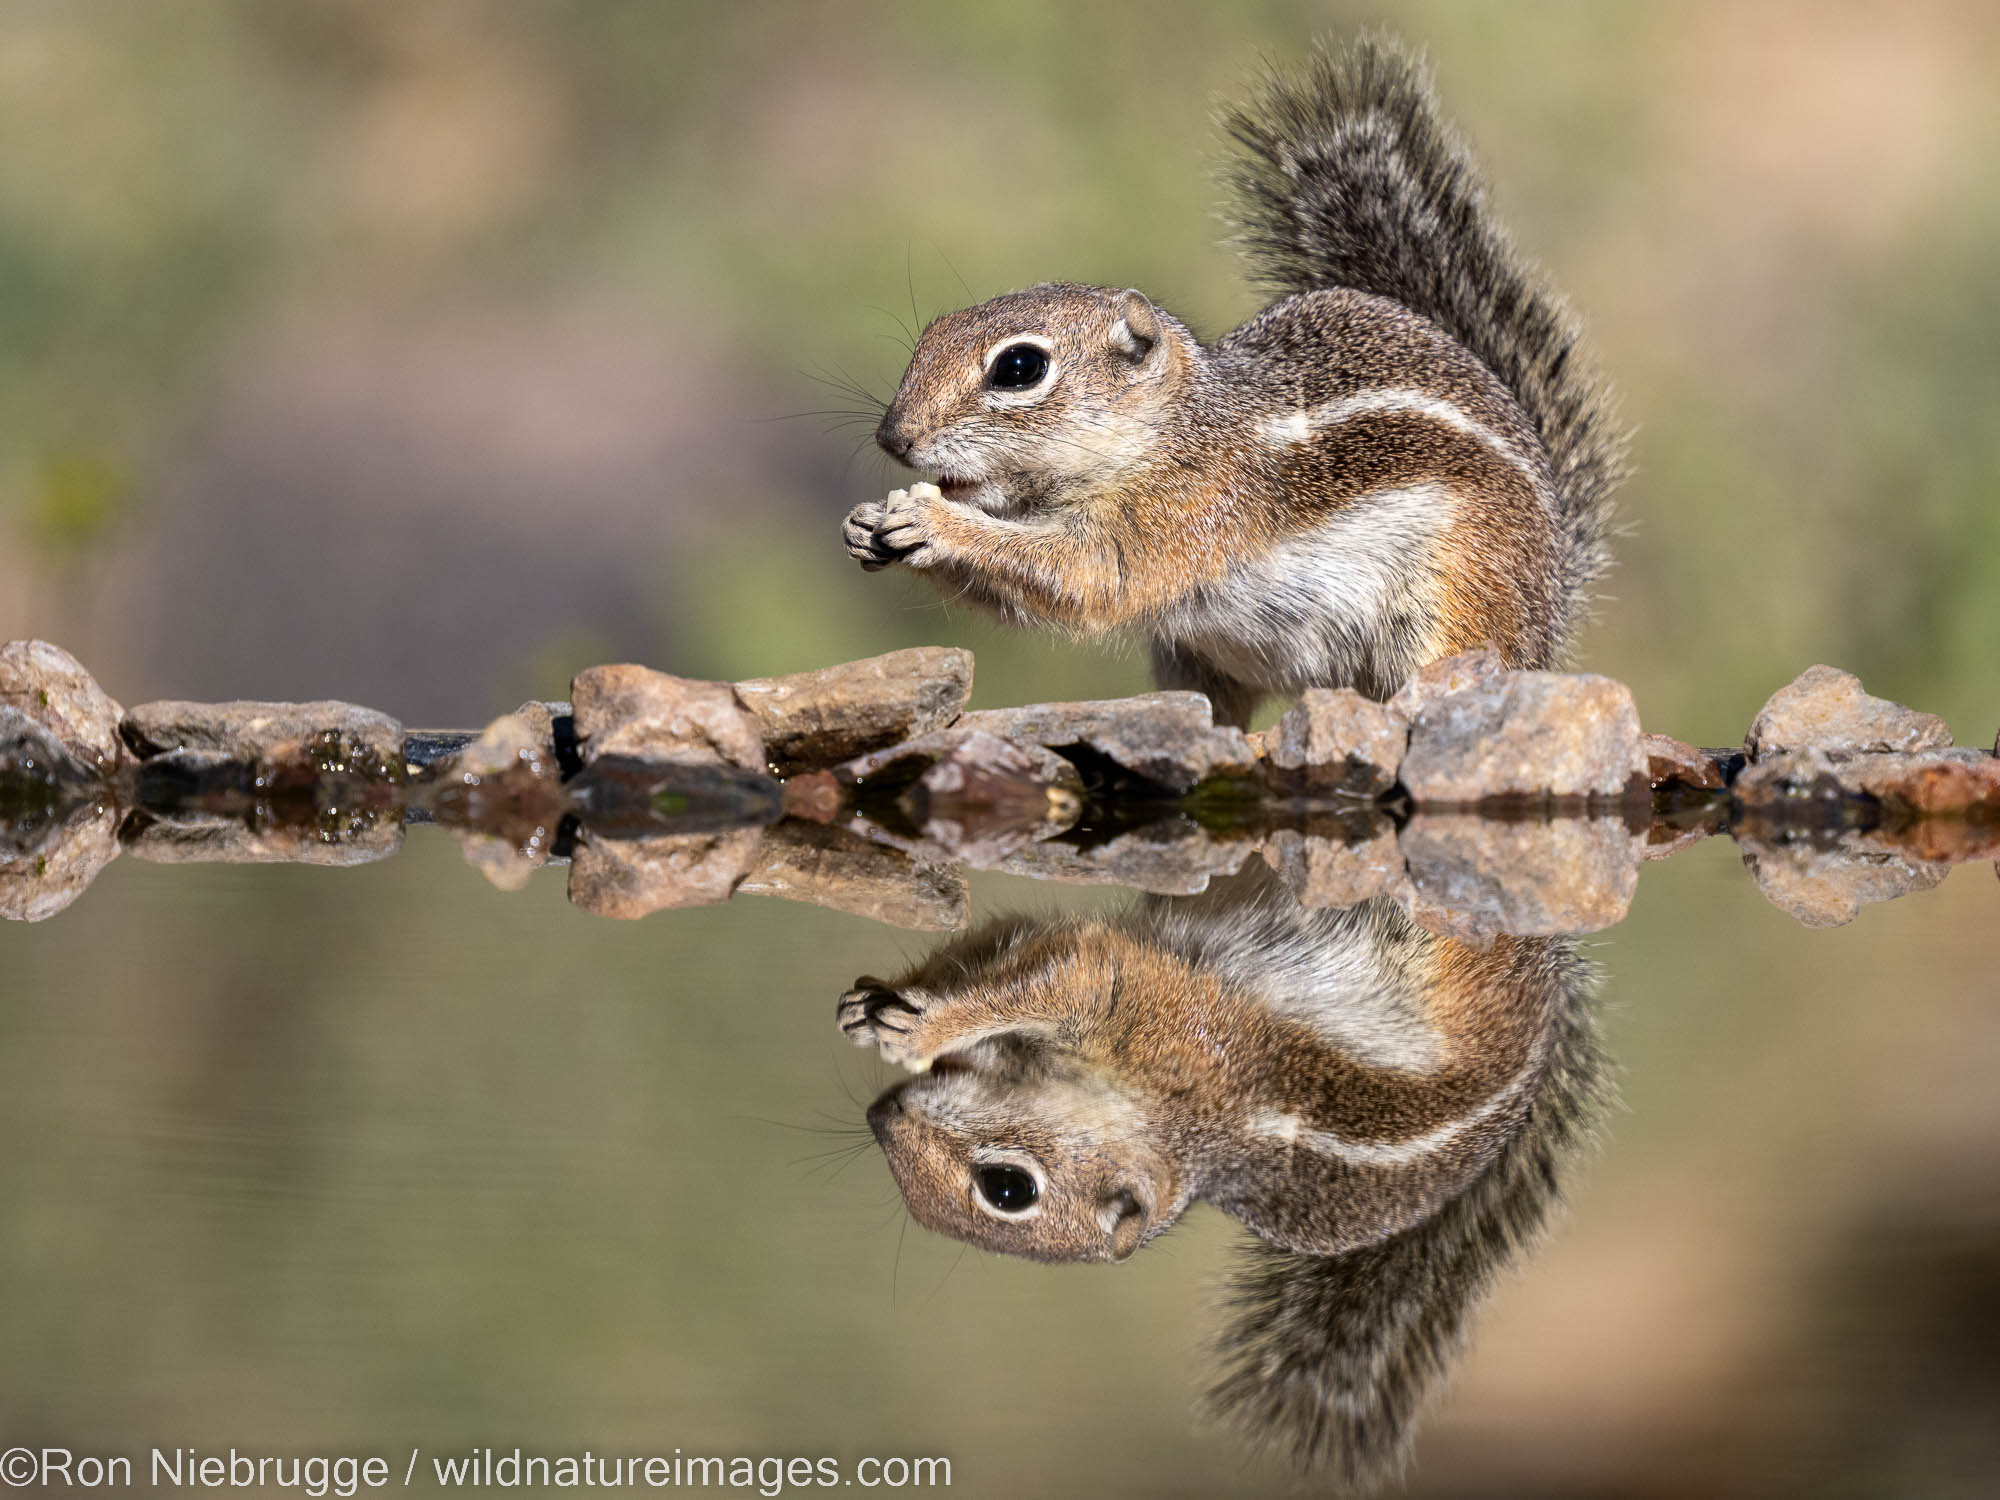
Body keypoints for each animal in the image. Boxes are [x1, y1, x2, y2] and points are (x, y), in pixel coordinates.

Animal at [840, 868, 1608, 1496]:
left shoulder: (1151, 1015)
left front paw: (920, 1028)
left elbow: (1071, 962)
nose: (880, 1118)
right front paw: (874, 1009)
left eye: (1006, 1189)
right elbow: (1004, 940)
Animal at [844, 29, 1624, 724]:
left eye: (1019, 367)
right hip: (1196, 657)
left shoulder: (1186, 512)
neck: (1171, 432)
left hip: (1455, 606)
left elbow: (1091, 577)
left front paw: (932, 520)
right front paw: (867, 524)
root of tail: (1555, 596)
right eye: (930, 335)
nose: (894, 438)